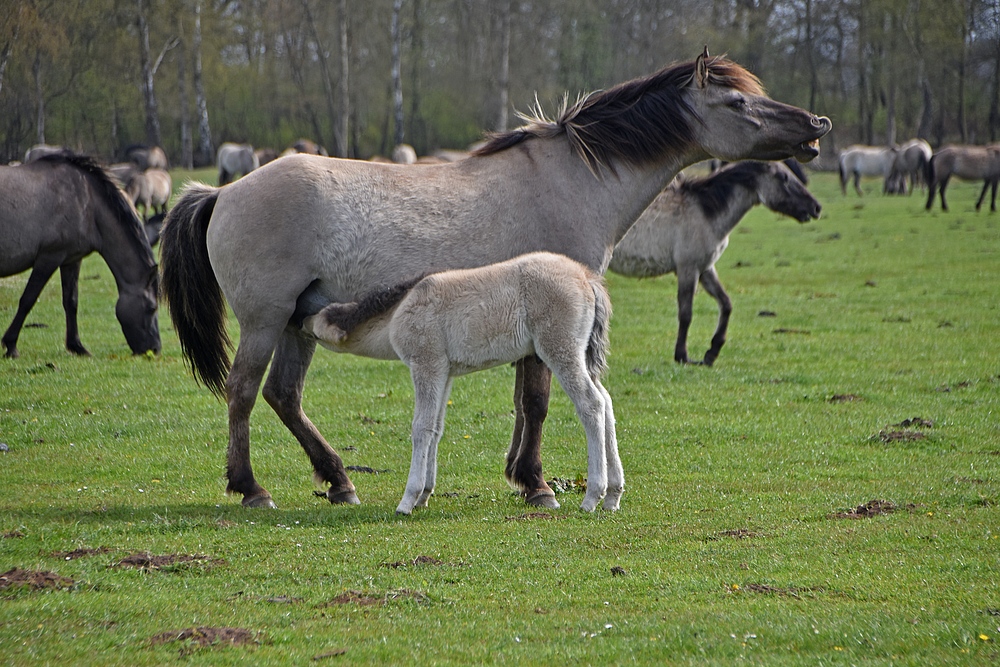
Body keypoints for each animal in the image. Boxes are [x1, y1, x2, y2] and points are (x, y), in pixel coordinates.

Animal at [0, 153, 160, 360]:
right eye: (152, 308)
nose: (155, 349)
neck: (87, 203)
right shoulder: (48, 258)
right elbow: (28, 300)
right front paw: (11, 345)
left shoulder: (71, 260)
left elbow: (71, 302)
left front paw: (77, 346)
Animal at [298, 252, 624, 516]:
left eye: (319, 319)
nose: (298, 320)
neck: (400, 310)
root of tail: (587, 278)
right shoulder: (445, 373)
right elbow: (436, 428)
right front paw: (424, 496)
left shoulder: (426, 365)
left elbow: (421, 428)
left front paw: (407, 501)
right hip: (579, 354)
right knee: (606, 401)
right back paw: (613, 496)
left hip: (559, 350)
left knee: (591, 404)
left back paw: (592, 497)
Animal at [608, 161, 820, 368]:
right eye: (783, 177)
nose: (816, 208)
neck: (705, 211)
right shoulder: (688, 269)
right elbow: (686, 314)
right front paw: (682, 356)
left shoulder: (705, 269)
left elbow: (726, 304)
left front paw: (711, 353)